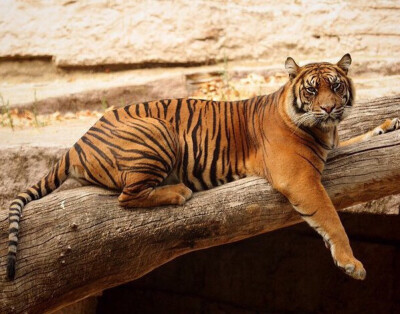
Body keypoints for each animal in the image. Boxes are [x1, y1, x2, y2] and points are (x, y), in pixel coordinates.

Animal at [6, 52, 400, 280]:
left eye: (336, 86)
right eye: (312, 90)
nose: (331, 108)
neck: (323, 130)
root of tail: (77, 142)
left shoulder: (330, 149)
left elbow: (358, 137)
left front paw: (388, 124)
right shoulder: (298, 176)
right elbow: (331, 219)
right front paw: (351, 263)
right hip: (158, 131)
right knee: (127, 196)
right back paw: (178, 191)